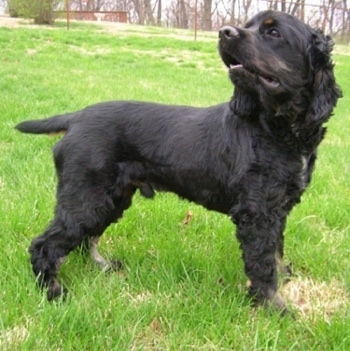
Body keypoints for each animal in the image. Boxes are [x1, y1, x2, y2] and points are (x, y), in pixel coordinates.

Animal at [16, 11, 342, 314]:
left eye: (273, 32)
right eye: (249, 26)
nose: (225, 32)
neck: (278, 128)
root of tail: (75, 118)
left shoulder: (278, 208)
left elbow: (276, 251)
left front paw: (284, 279)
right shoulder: (256, 213)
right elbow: (262, 262)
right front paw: (275, 307)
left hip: (112, 197)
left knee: (87, 238)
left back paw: (103, 266)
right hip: (87, 197)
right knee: (45, 244)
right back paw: (53, 291)